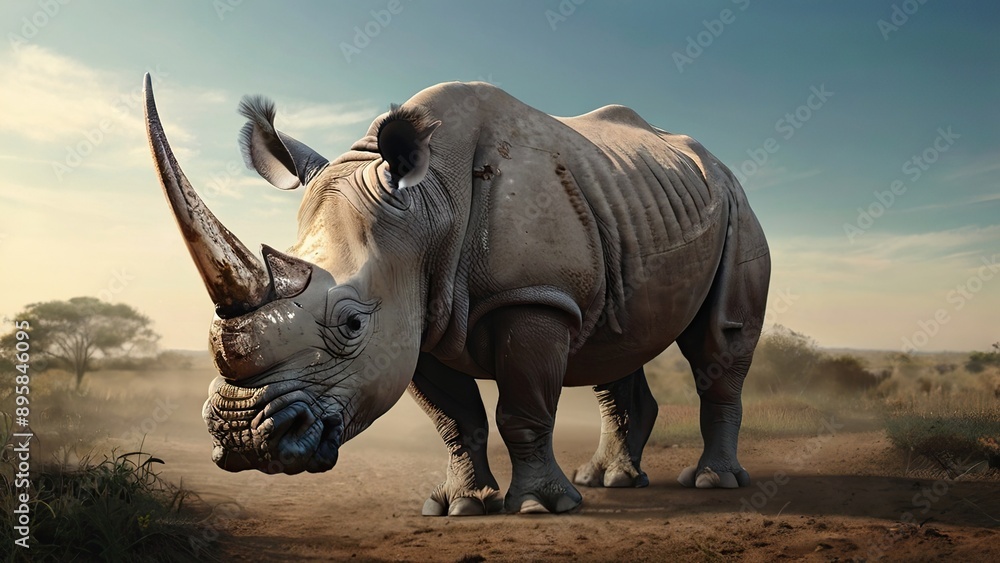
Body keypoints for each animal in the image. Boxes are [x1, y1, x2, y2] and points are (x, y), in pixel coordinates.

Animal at [143, 75, 770, 516]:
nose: (240, 436)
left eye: (352, 324)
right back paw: (611, 481)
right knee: (615, 344)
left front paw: (539, 508)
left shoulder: (531, 297)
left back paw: (711, 483)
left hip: (735, 204)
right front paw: (461, 506)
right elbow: (454, 420)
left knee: (720, 342)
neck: (424, 209)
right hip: (625, 200)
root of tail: (714, 164)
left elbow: (523, 408)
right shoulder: (415, 317)